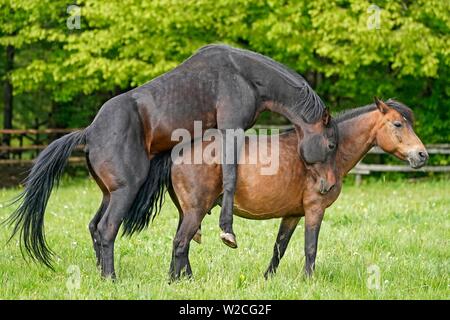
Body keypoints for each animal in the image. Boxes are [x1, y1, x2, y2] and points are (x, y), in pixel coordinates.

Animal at [5, 43, 334, 278]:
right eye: (331, 145)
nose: (327, 186)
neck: (244, 75)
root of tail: (90, 131)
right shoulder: (231, 129)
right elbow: (229, 176)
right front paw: (226, 231)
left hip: (109, 193)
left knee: (95, 227)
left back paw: (101, 274)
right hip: (125, 190)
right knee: (107, 229)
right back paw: (111, 279)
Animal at [167, 98, 428, 280]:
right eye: (398, 124)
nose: (422, 155)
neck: (329, 153)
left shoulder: (292, 214)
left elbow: (279, 248)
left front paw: (268, 279)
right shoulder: (315, 209)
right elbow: (310, 247)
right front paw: (308, 280)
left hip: (187, 212)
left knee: (181, 243)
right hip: (195, 210)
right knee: (181, 243)